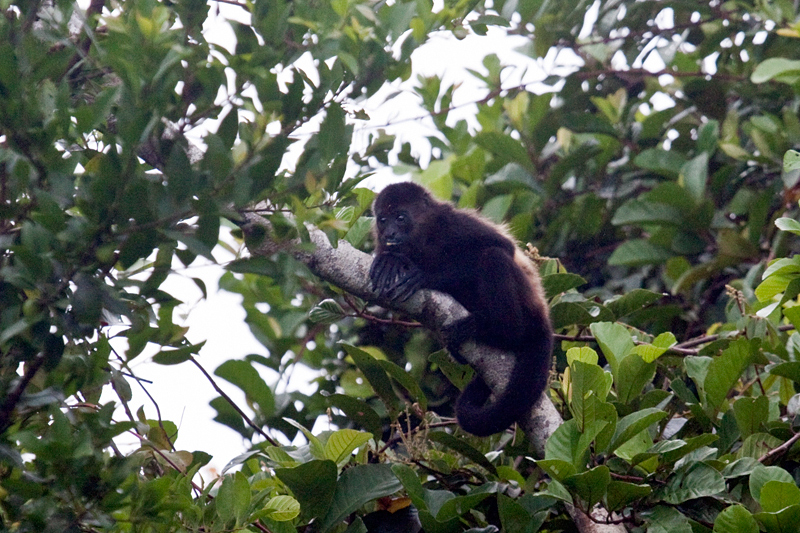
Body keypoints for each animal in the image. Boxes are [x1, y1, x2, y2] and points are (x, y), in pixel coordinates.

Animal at [372, 183, 552, 436]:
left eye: (400, 217)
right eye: (382, 220)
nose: (389, 234)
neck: (423, 238)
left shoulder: (453, 223)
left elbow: (501, 245)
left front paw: (425, 276)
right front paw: (390, 260)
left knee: (494, 257)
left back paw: (492, 330)